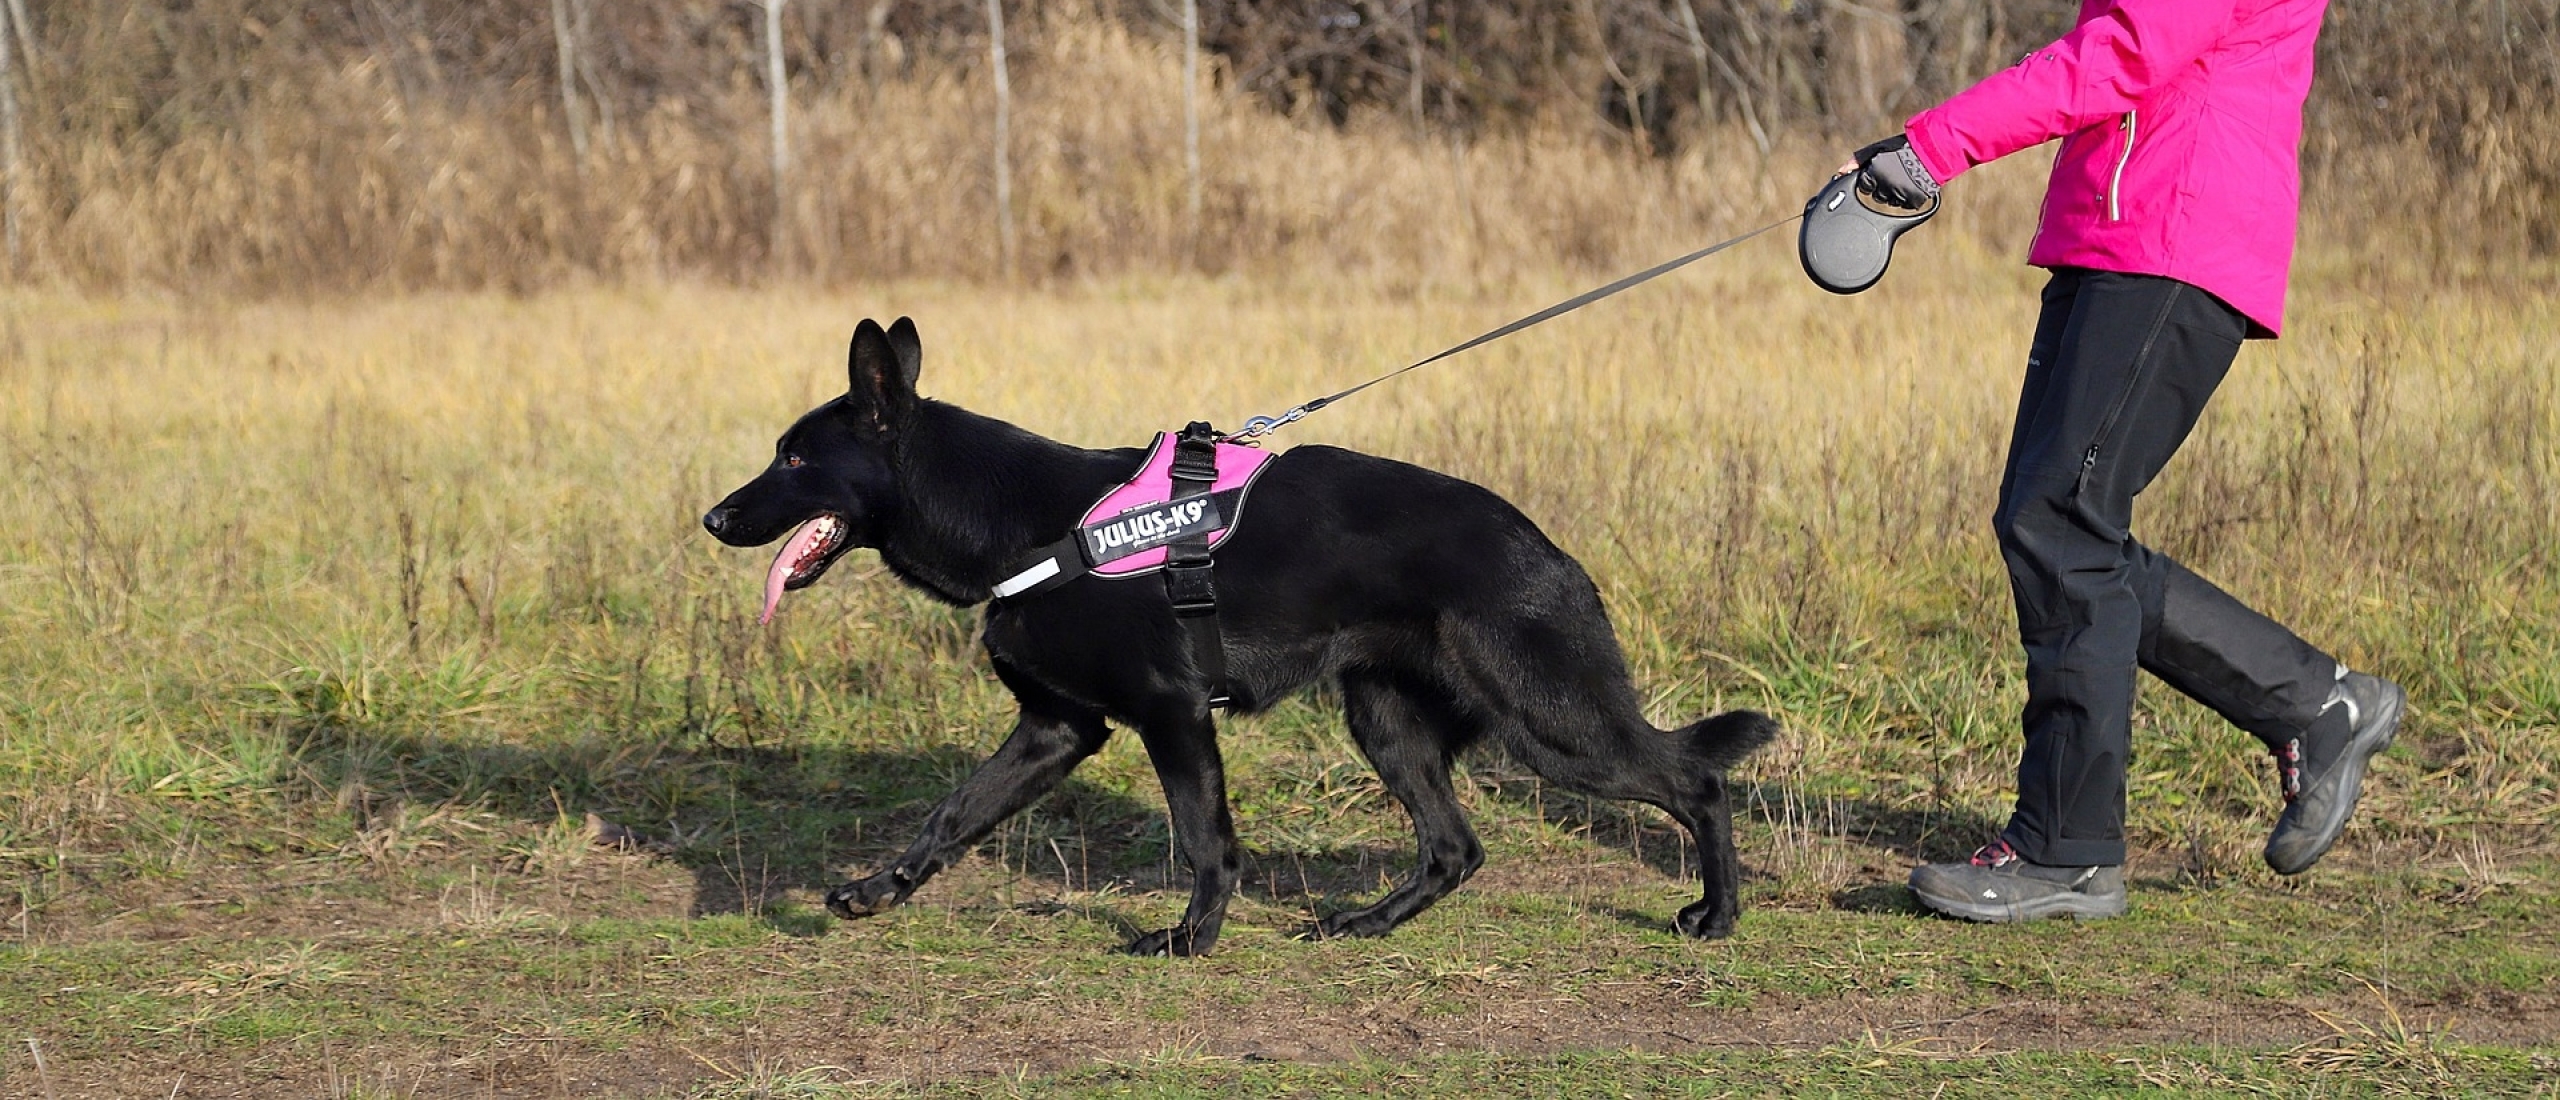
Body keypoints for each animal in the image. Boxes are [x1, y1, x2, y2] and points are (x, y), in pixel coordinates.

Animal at [706, 315, 1781, 951]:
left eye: (793, 458)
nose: (713, 519)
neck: (1032, 522)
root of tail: (1547, 546)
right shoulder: (1057, 730)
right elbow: (951, 814)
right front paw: (877, 889)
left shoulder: (1173, 716)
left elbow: (1205, 839)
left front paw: (1189, 941)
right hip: (1388, 726)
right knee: (1455, 849)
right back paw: (1367, 923)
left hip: (1551, 726)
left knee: (1695, 781)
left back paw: (1717, 914)